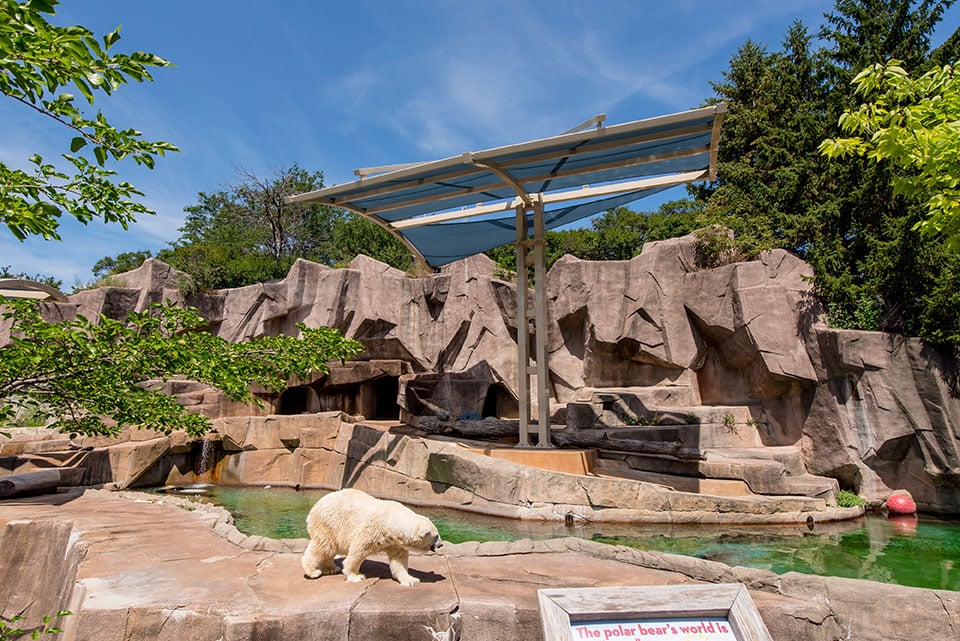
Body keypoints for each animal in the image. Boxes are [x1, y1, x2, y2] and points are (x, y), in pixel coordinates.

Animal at [300, 490, 442, 584]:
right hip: (329, 524)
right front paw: (356, 576)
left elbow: (399, 560)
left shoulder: (395, 542)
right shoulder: (372, 530)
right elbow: (358, 551)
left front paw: (411, 580)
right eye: (435, 536)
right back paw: (313, 572)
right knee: (324, 546)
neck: (390, 522)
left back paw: (331, 568)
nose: (441, 544)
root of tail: (316, 504)